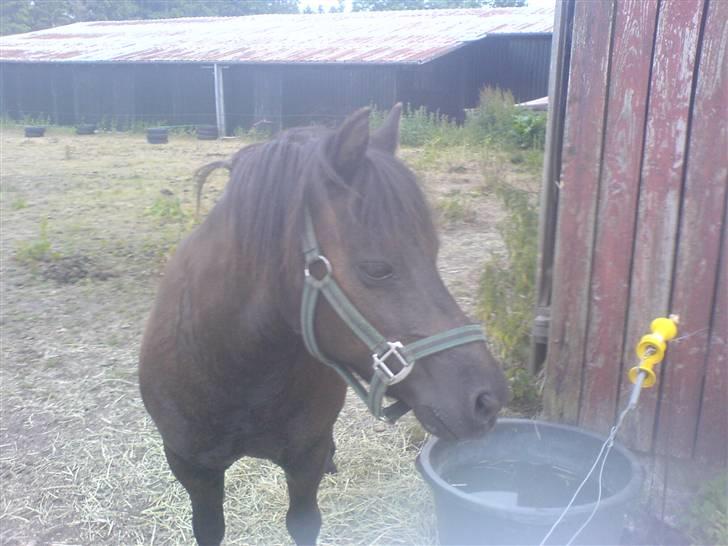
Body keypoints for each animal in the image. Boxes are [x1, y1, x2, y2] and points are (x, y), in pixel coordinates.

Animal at [139, 105, 508, 546]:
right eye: (376, 269)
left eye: (434, 252)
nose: (487, 399)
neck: (235, 366)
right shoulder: (193, 469)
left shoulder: (305, 459)